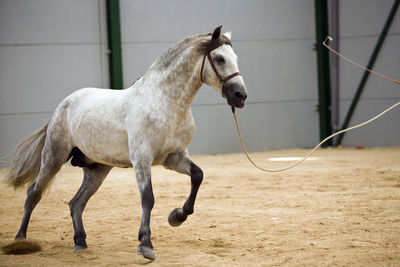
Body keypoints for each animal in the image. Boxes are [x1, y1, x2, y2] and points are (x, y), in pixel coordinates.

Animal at [5, 26, 247, 260]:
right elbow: (147, 198)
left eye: (235, 57)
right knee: (34, 193)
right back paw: (20, 240)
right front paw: (146, 245)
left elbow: (198, 176)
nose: (240, 95)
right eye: (219, 58)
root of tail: (64, 104)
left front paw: (177, 216)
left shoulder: (174, 158)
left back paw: (80, 242)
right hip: (54, 156)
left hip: (98, 169)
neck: (165, 103)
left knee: (76, 203)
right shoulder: (141, 159)